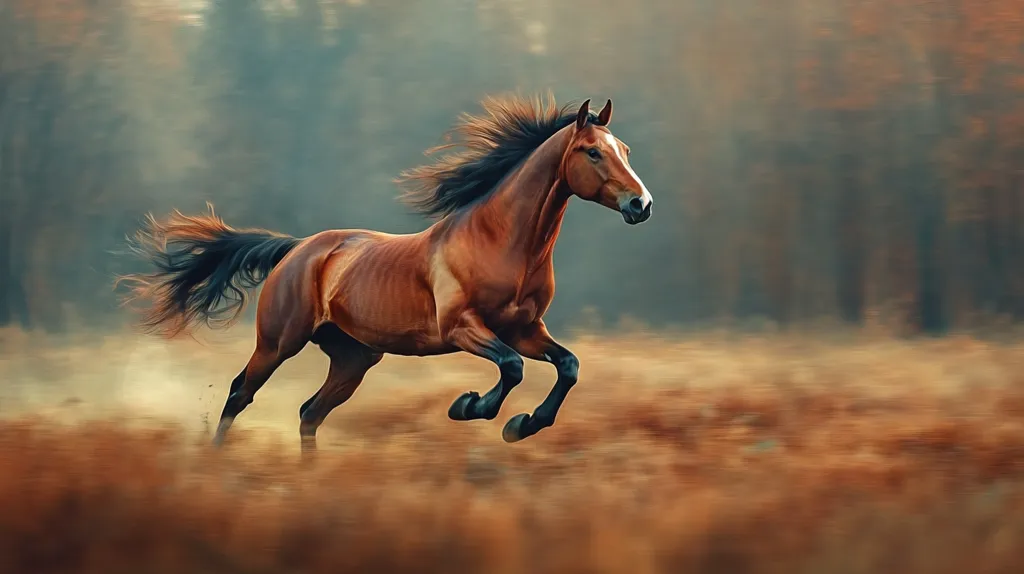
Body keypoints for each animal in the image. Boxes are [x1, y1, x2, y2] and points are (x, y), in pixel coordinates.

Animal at [117, 94, 653, 453]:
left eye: (625, 149)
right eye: (592, 152)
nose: (641, 204)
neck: (501, 243)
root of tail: (296, 251)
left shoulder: (525, 329)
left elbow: (567, 366)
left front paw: (522, 424)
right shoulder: (462, 328)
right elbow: (512, 368)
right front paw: (471, 407)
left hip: (353, 357)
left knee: (309, 412)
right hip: (278, 342)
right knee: (239, 393)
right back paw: (214, 462)